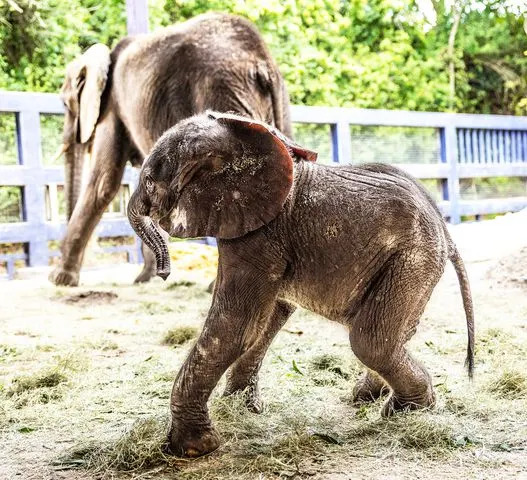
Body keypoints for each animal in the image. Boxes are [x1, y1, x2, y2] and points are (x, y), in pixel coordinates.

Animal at [48, 13, 292, 286]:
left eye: (65, 104)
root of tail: (260, 60)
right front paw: (145, 278)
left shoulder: (112, 106)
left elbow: (103, 182)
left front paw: (59, 280)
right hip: (276, 101)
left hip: (221, 91)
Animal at [127, 110, 474, 456]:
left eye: (150, 182)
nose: (164, 273)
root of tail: (445, 229)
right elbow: (268, 318)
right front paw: (242, 409)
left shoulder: (259, 235)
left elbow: (238, 325)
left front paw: (193, 447)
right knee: (395, 332)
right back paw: (367, 396)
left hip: (412, 257)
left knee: (370, 340)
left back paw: (406, 410)